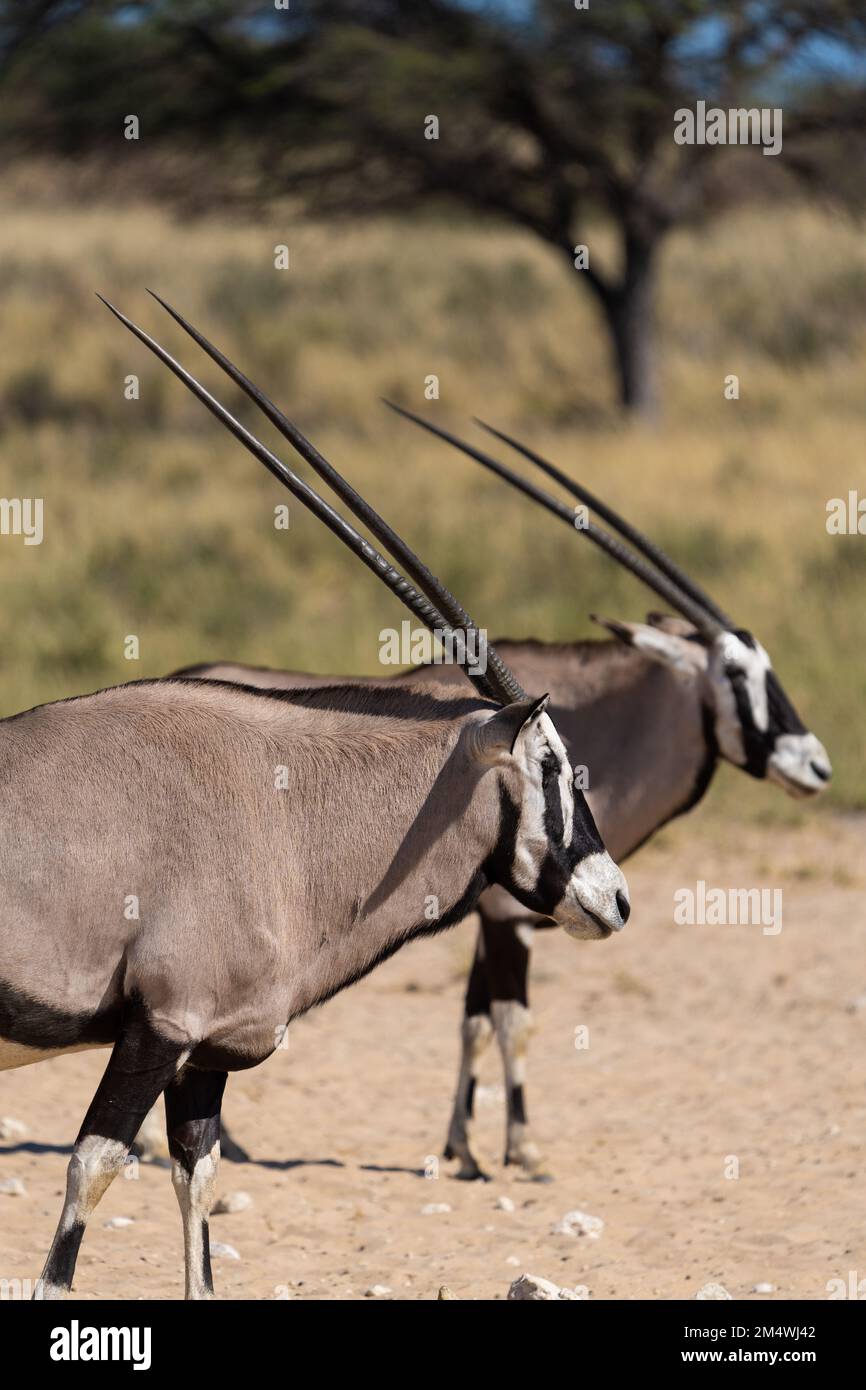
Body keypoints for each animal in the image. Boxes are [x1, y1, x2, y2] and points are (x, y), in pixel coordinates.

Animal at [0, 296, 631, 1301]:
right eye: (551, 765)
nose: (616, 899)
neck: (282, 813)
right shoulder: (159, 1029)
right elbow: (92, 1171)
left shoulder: (208, 1051)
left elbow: (199, 1184)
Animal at [136, 307, 834, 1184]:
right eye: (738, 672)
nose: (816, 764)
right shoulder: (508, 916)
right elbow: (509, 1020)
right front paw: (523, 1150)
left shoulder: (490, 908)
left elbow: (469, 1021)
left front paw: (461, 1148)